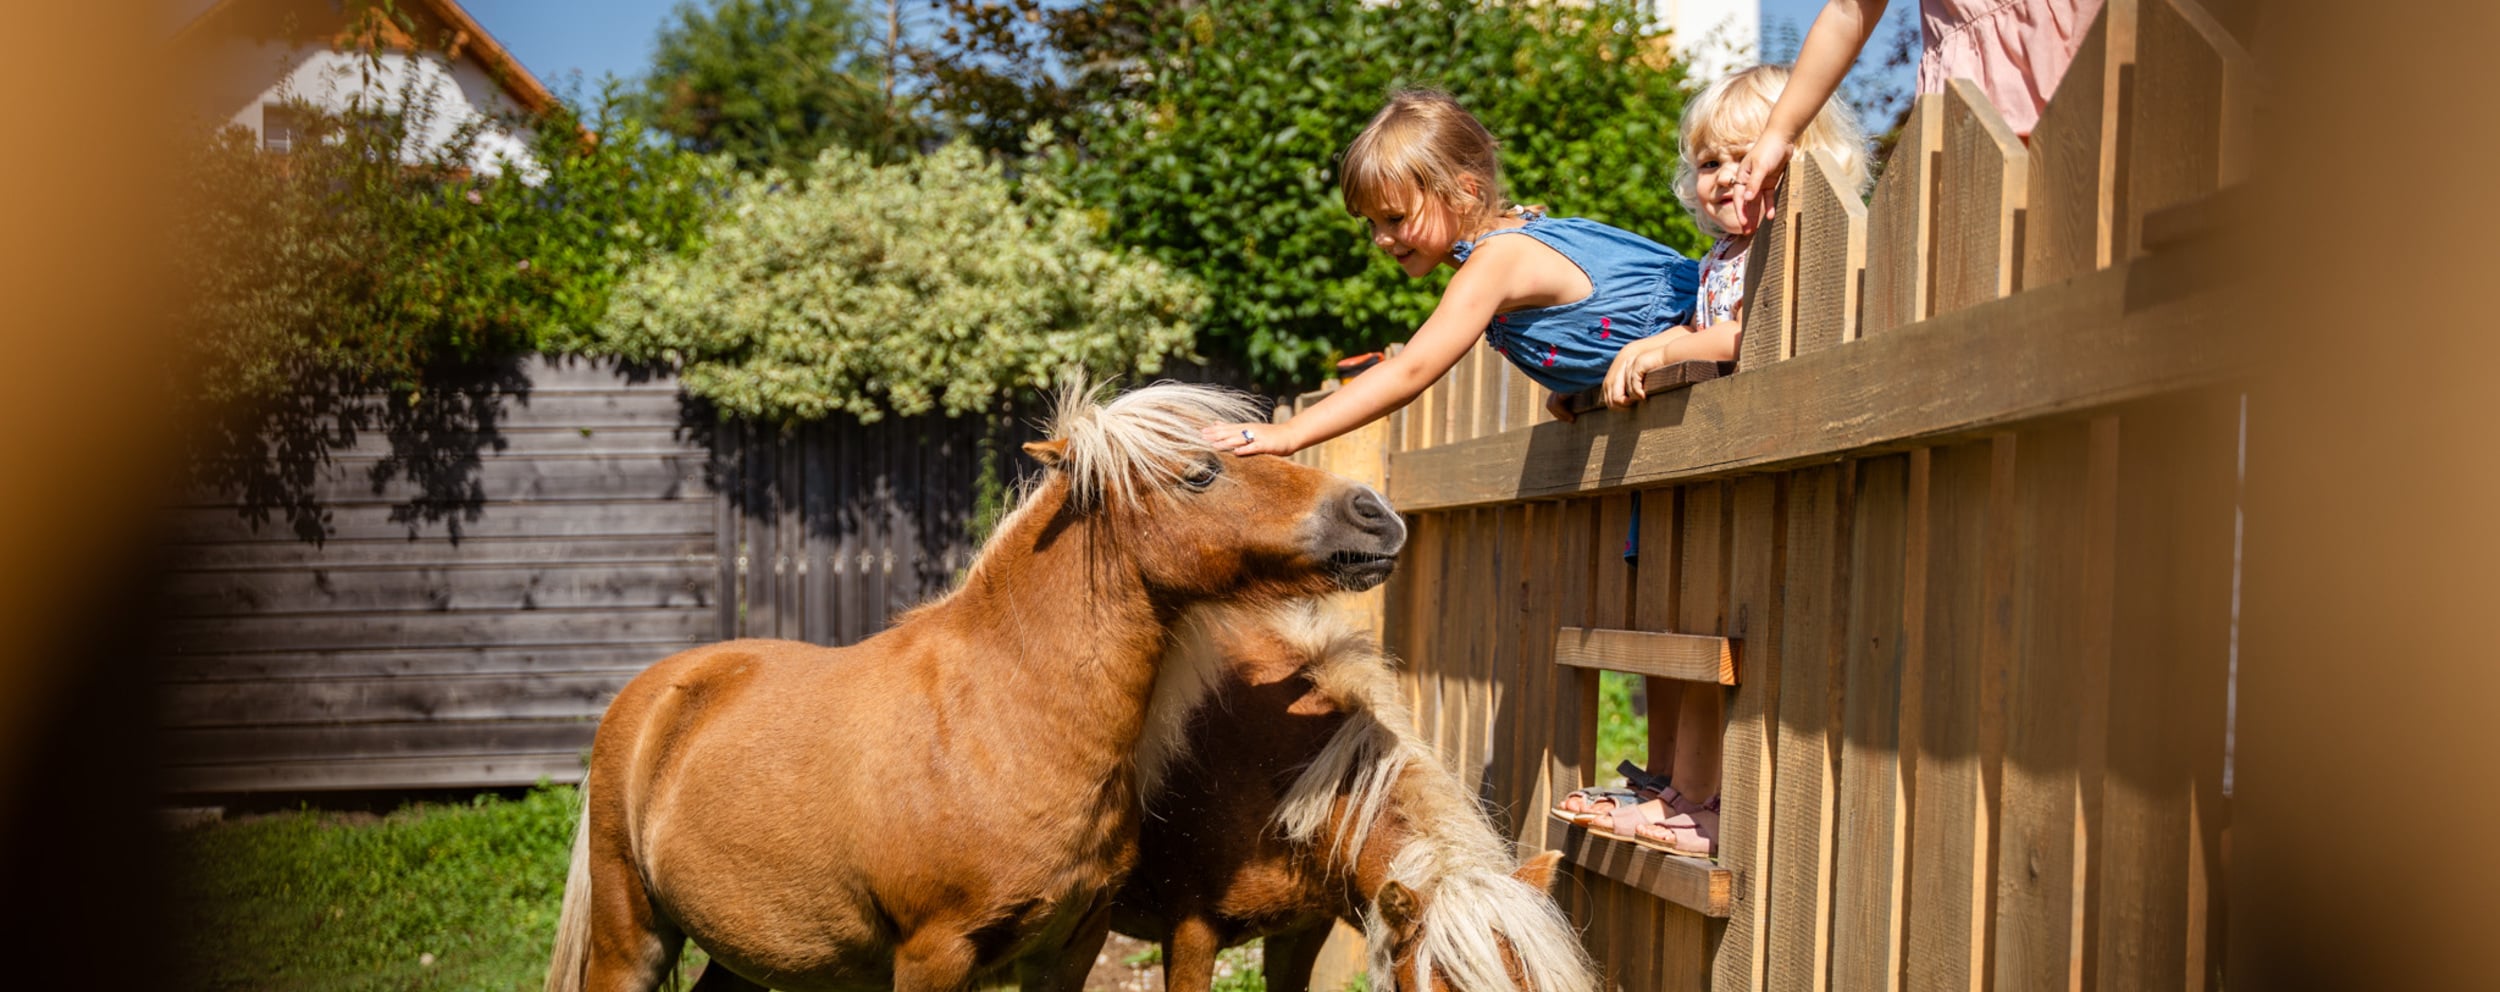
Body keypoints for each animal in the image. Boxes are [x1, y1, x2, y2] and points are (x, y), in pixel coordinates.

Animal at [545, 379, 1410, 989]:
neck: (1000, 721)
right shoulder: (935, 954)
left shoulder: (1069, 948)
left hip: (755, 957)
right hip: (632, 939)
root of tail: (658, 693)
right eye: (1201, 473)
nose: (1376, 515)